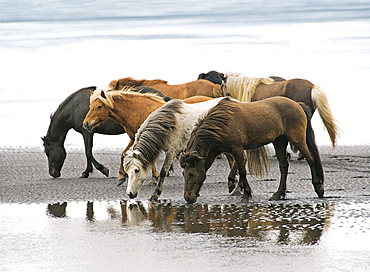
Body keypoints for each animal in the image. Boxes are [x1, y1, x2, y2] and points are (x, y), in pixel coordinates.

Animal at [42, 85, 171, 178]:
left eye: (48, 152)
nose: (53, 173)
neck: (74, 107)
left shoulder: (87, 132)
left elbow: (88, 152)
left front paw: (101, 170)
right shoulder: (88, 131)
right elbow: (88, 152)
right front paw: (87, 172)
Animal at [82, 88, 212, 185]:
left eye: (99, 106)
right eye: (90, 106)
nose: (86, 124)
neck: (139, 111)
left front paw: (154, 178)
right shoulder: (134, 138)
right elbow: (124, 154)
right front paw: (121, 176)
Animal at [179, 96, 324, 203]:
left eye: (191, 174)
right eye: (183, 174)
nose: (187, 198)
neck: (223, 123)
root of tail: (297, 105)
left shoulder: (237, 148)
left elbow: (242, 170)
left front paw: (246, 194)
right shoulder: (217, 150)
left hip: (297, 139)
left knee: (310, 158)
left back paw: (318, 187)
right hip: (279, 141)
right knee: (284, 166)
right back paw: (278, 194)